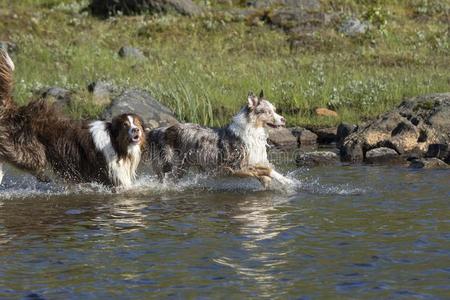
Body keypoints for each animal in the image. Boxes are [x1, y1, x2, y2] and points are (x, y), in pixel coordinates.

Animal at [0, 50, 145, 189]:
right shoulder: (112, 178)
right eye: (126, 125)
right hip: (32, 153)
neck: (116, 144)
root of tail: (17, 111)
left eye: (136, 124)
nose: (135, 130)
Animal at [149, 91, 296, 188]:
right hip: (170, 165)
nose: (284, 119)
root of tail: (160, 130)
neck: (254, 131)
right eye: (268, 112)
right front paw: (288, 181)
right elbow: (267, 171)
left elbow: (266, 173)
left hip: (181, 168)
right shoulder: (236, 167)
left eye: (275, 110)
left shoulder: (254, 161)